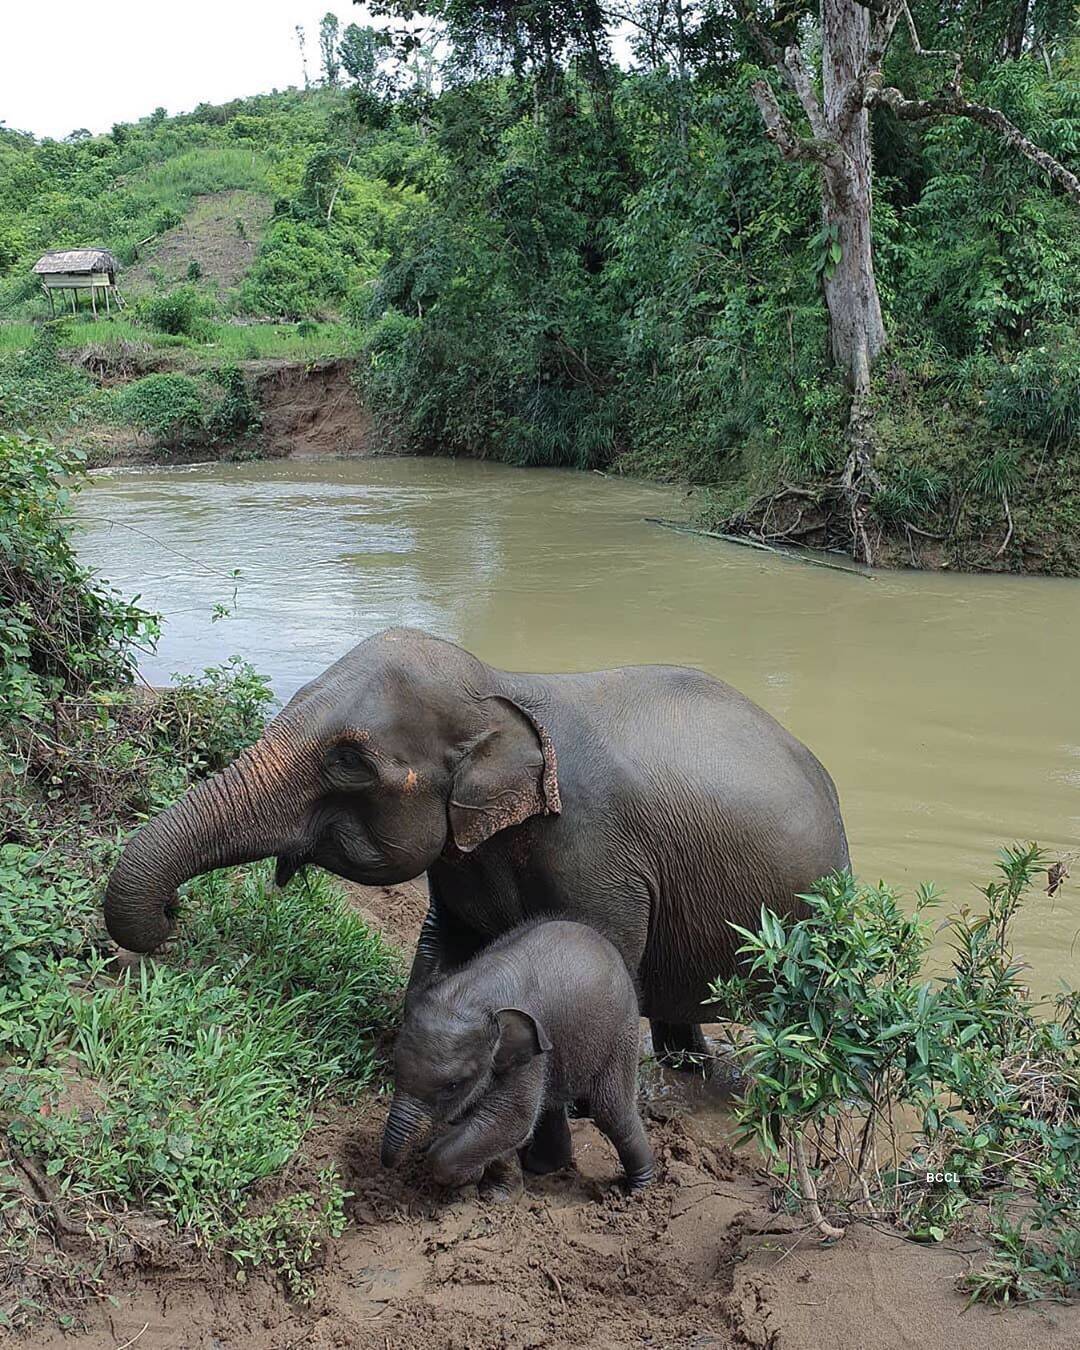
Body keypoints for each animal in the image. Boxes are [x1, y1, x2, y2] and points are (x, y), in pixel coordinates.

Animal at [104, 626, 849, 1166]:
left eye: (347, 760)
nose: (172, 914)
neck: (504, 689)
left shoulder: (596, 850)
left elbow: (596, 954)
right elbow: (448, 944)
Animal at [381, 919, 652, 1199]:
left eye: (452, 1086)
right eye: (395, 1065)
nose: (387, 1166)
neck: (477, 987)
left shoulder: (532, 1050)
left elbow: (513, 1116)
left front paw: (473, 1183)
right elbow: (502, 1122)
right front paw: (495, 1192)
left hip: (621, 1032)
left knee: (611, 1110)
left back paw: (638, 1191)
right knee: (551, 1105)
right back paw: (540, 1166)